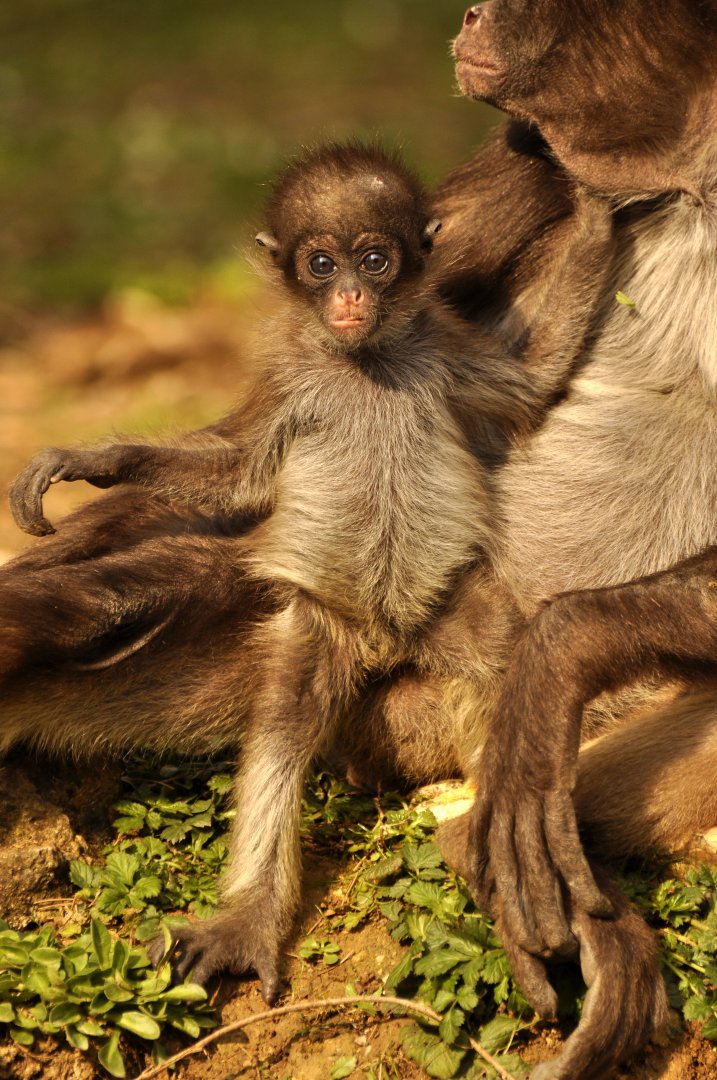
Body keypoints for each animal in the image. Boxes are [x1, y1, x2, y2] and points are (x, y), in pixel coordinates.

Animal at [6, 142, 614, 1004]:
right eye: (320, 264)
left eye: (375, 259)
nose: (350, 295)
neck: (364, 362)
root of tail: (388, 640)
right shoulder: (291, 380)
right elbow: (237, 482)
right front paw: (98, 460)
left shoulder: (441, 351)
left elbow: (536, 382)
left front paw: (593, 204)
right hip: (321, 620)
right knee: (285, 732)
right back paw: (251, 915)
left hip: (448, 607)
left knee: (498, 664)